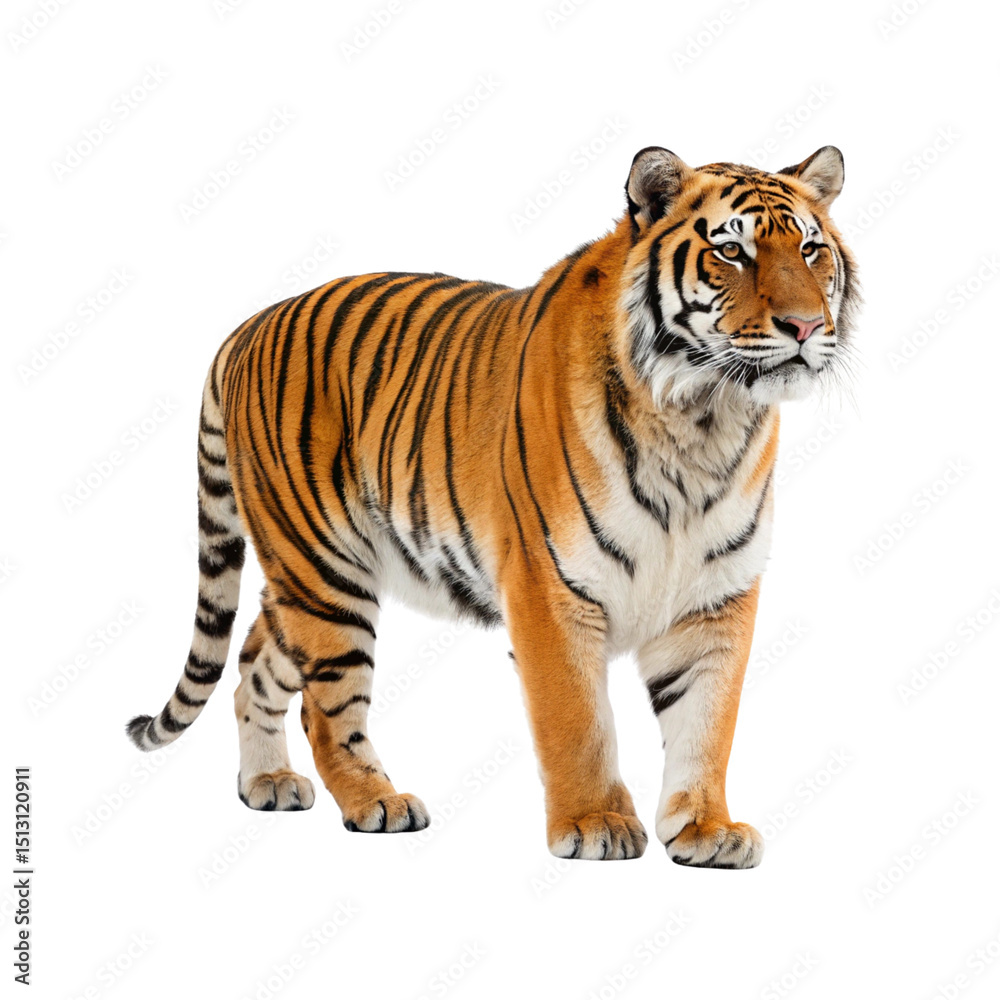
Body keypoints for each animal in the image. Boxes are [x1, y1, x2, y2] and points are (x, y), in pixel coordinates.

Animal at [127, 144, 859, 867]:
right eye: (732, 251)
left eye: (811, 250)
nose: (805, 326)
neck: (706, 418)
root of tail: (249, 325)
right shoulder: (549, 589)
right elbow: (578, 721)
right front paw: (594, 823)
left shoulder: (716, 597)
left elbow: (708, 723)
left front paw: (707, 828)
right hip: (324, 572)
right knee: (326, 708)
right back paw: (376, 802)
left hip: (306, 586)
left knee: (254, 661)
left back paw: (267, 783)